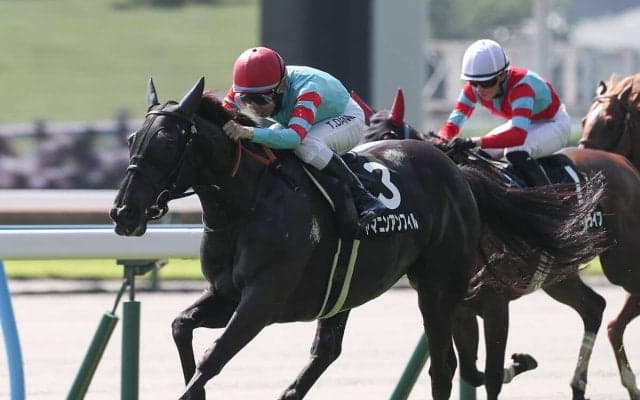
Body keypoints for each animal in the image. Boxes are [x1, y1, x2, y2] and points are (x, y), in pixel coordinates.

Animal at [110, 78, 606, 400]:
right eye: (133, 139)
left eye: (168, 143)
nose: (123, 212)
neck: (246, 204)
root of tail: (455, 171)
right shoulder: (227, 292)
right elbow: (181, 327)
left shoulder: (264, 298)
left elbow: (214, 356)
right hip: (350, 286)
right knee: (329, 351)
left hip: (437, 285)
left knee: (444, 365)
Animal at [364, 90, 640, 400]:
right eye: (362, 135)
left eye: (388, 135)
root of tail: (624, 163)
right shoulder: (460, 309)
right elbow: (471, 372)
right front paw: (522, 362)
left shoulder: (496, 304)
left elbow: (492, 375)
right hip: (559, 276)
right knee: (594, 307)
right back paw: (579, 386)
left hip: (622, 263)